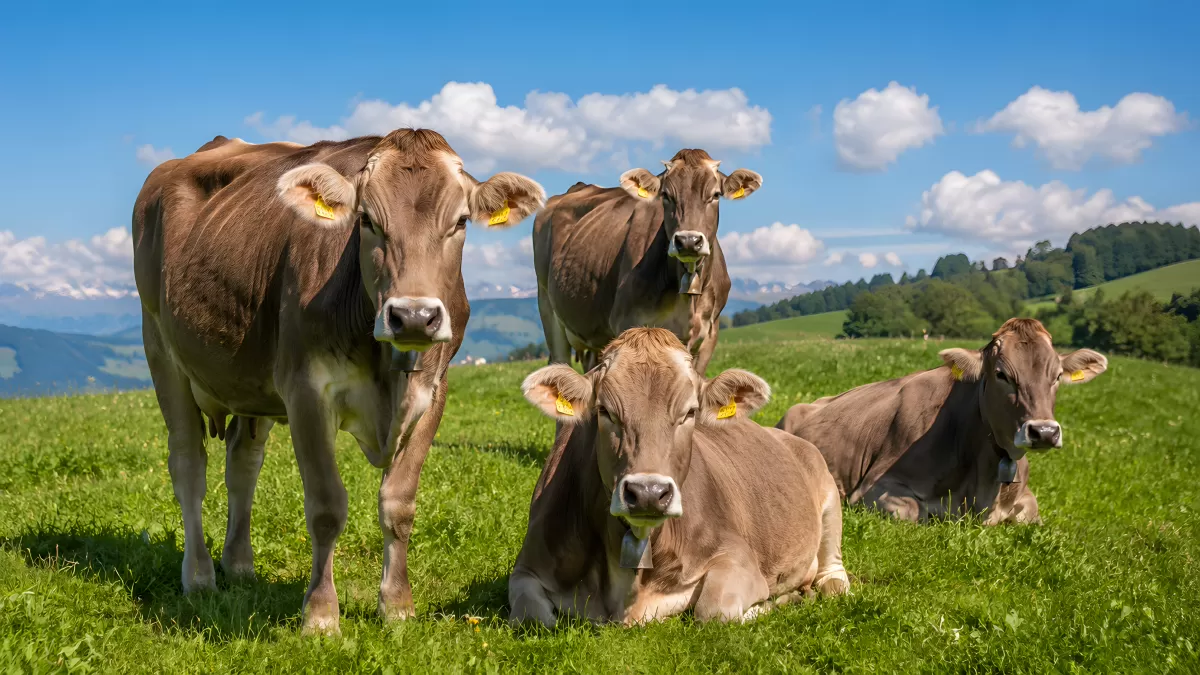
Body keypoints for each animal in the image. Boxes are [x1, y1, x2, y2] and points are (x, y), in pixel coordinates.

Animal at [132, 128, 545, 634]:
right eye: (366, 220)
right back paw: (200, 576)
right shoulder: (305, 390)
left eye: (461, 221)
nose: (414, 316)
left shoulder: (434, 393)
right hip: (160, 348)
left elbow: (399, 504)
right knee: (189, 465)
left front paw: (398, 605)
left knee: (243, 463)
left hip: (250, 382)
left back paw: (240, 564)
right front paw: (321, 615)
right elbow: (326, 507)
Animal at [508, 327, 849, 627]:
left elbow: (714, 610)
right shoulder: (526, 566)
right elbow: (533, 617)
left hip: (829, 498)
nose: (648, 492)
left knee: (832, 573)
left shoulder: (737, 556)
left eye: (690, 412)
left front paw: (776, 601)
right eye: (604, 411)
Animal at [532, 149, 762, 375]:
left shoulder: (708, 337)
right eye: (666, 195)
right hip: (548, 308)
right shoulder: (627, 325)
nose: (688, 241)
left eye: (715, 195)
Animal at [776, 318, 1108, 525]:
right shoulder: (872, 487)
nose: (1044, 432)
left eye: (1057, 376)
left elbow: (1031, 512)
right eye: (1001, 374)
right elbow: (912, 512)